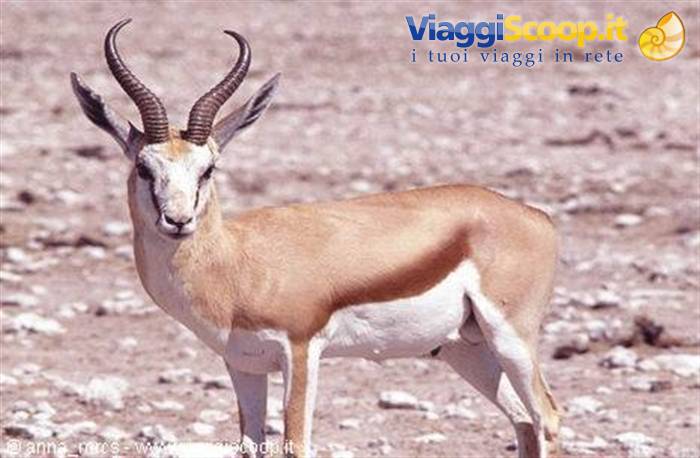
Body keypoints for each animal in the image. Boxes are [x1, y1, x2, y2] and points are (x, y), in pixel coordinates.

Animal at [71, 19, 560, 458]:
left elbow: (296, 445)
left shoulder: (301, 351)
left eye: (208, 169)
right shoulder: (243, 363)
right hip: (465, 348)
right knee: (523, 420)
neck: (235, 264)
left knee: (547, 416)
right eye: (143, 167)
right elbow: (250, 447)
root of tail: (533, 215)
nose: (177, 220)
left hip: (510, 336)